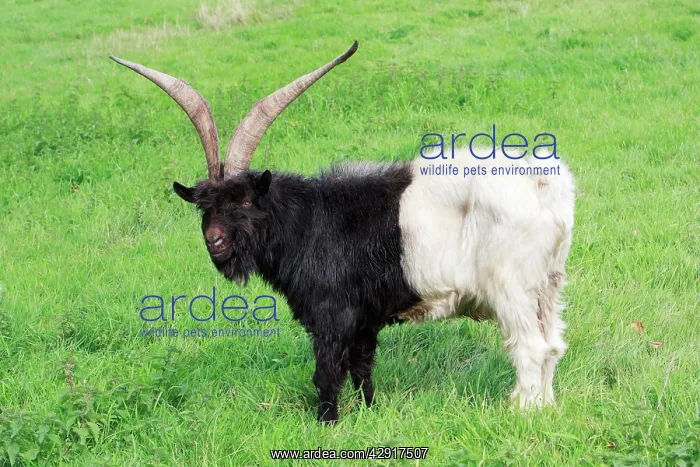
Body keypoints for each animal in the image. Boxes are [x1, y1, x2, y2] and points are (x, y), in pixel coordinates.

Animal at [111, 41, 575, 424]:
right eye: (204, 206)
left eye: (244, 202)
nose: (216, 240)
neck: (306, 222)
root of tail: (546, 188)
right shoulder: (365, 317)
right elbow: (362, 367)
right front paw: (369, 412)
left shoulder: (331, 312)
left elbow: (328, 371)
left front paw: (326, 424)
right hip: (549, 284)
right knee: (552, 344)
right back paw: (547, 407)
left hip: (511, 286)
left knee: (530, 347)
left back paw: (522, 412)